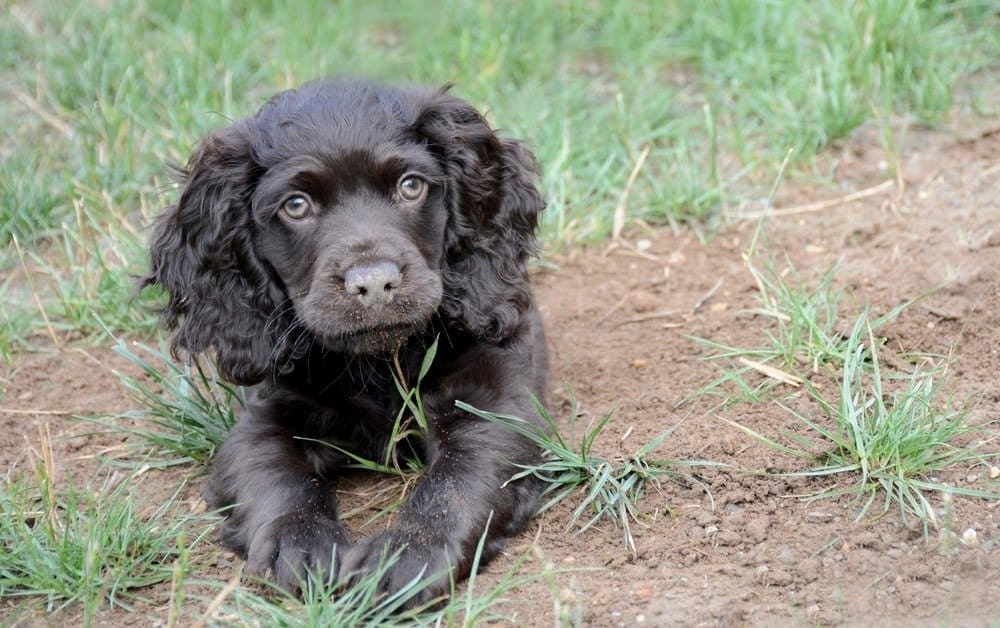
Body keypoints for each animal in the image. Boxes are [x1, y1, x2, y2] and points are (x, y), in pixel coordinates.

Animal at [143, 77, 548, 604]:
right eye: (296, 205)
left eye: (411, 185)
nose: (373, 283)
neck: (379, 362)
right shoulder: (264, 419)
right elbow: (276, 475)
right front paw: (298, 542)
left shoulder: (492, 404)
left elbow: (456, 483)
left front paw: (405, 555)